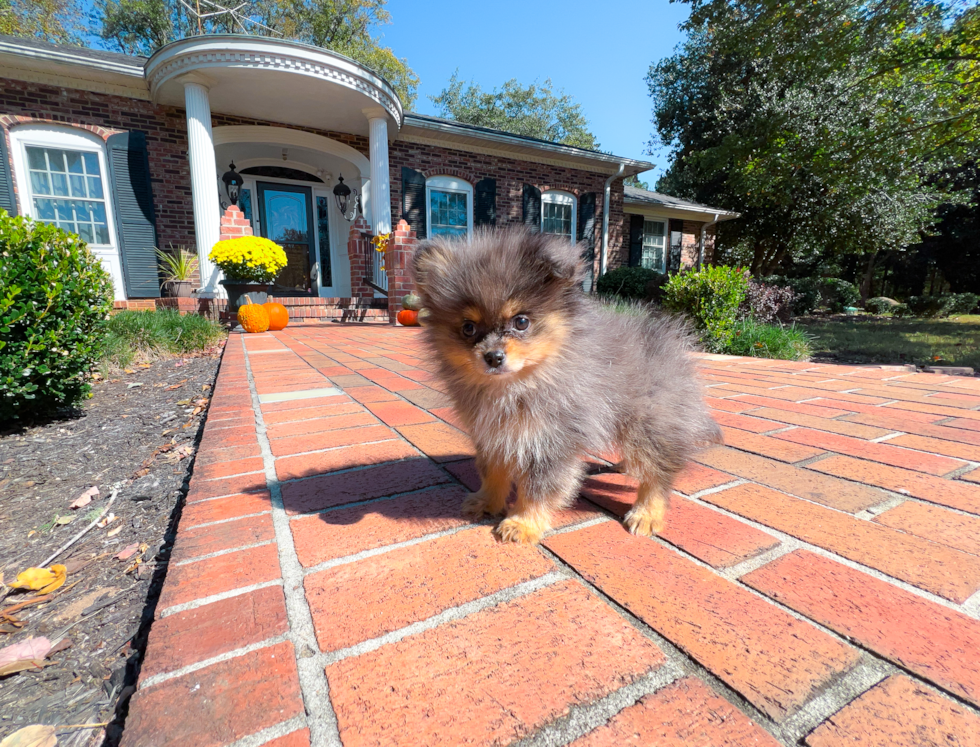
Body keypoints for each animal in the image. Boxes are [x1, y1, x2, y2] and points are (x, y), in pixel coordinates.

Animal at [410, 226, 724, 544]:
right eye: (468, 328)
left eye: (521, 322)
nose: (493, 357)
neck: (518, 385)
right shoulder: (493, 435)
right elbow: (493, 472)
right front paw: (487, 500)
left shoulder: (549, 439)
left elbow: (538, 487)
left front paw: (523, 523)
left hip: (650, 423)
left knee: (658, 471)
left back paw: (646, 513)